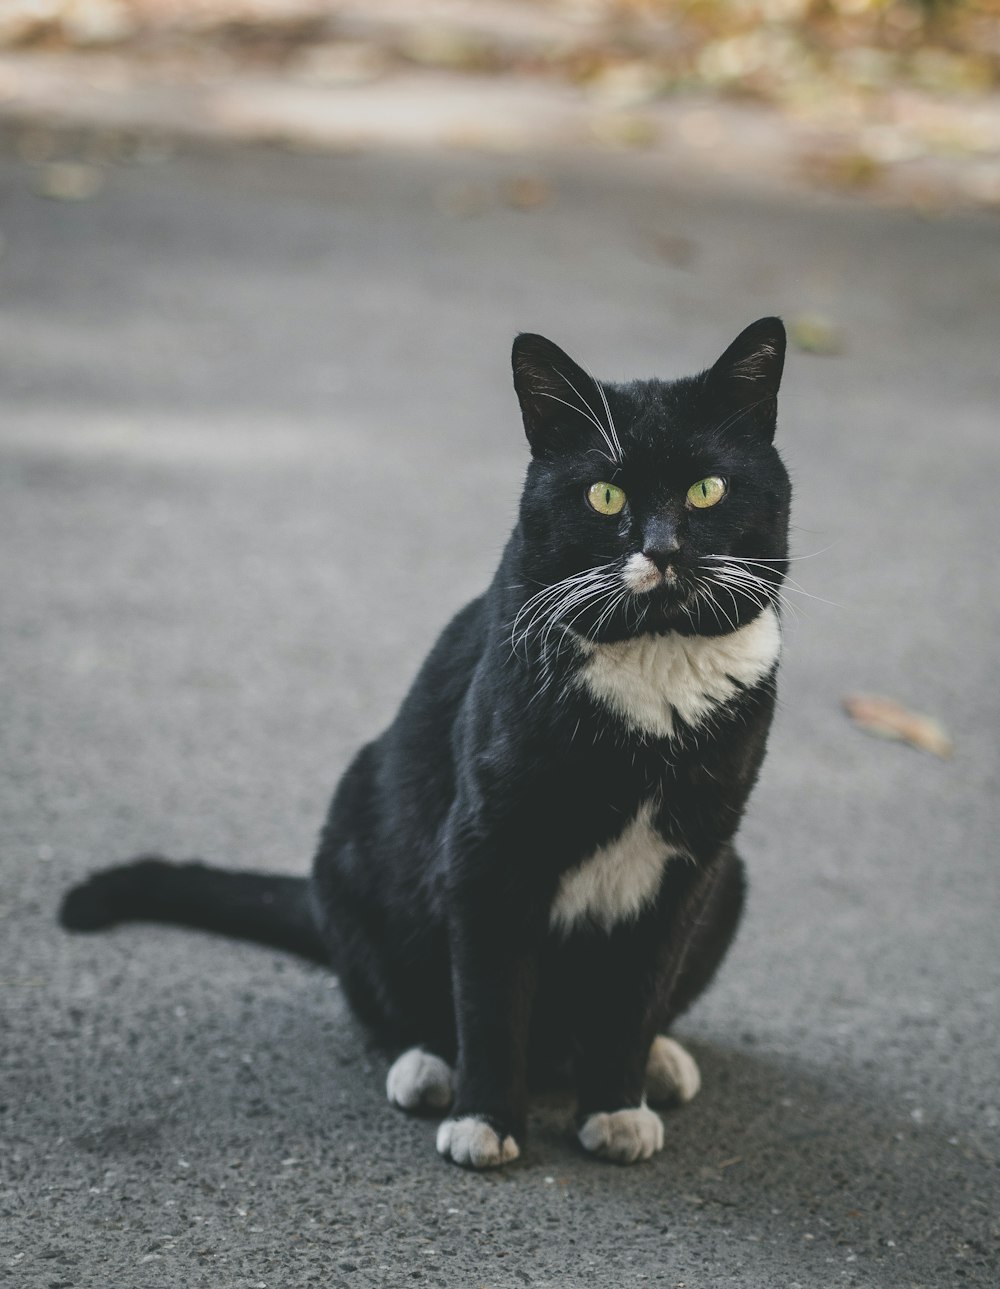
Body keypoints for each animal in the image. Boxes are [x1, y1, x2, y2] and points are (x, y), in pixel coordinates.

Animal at [64, 314, 798, 1170]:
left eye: (707, 489)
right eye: (605, 493)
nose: (664, 548)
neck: (652, 670)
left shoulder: (693, 858)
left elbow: (638, 991)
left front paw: (617, 1104)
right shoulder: (485, 843)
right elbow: (489, 996)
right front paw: (486, 1119)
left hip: (732, 875)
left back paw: (659, 1062)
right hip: (355, 828)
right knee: (393, 999)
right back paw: (426, 1066)